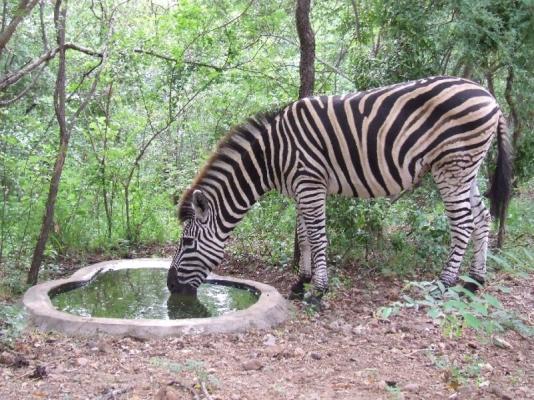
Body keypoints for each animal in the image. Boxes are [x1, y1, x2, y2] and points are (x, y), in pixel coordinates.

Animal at [168, 76, 516, 304]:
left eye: (187, 242)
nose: (170, 286)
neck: (272, 156)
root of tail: (490, 97)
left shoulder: (310, 183)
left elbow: (317, 236)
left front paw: (318, 290)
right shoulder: (301, 189)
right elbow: (304, 235)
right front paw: (301, 282)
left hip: (451, 166)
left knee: (463, 224)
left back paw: (443, 285)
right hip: (467, 169)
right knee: (482, 218)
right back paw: (474, 282)